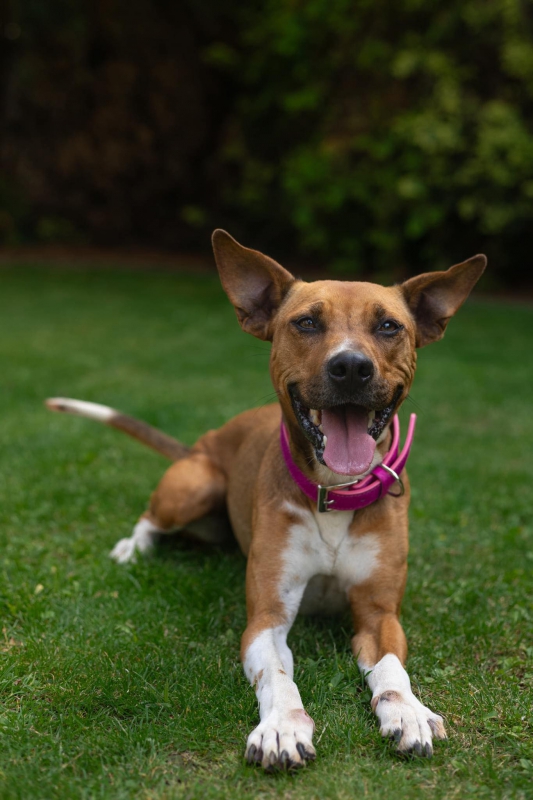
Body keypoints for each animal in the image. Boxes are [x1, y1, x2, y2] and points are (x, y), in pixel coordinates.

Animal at [47, 230, 486, 769]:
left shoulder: (379, 613)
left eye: (388, 325)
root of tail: (198, 445)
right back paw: (134, 548)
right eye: (306, 322)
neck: (333, 494)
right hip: (194, 485)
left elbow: (390, 669)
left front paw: (407, 711)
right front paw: (281, 727)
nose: (351, 367)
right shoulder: (266, 619)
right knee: (151, 517)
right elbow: (278, 678)